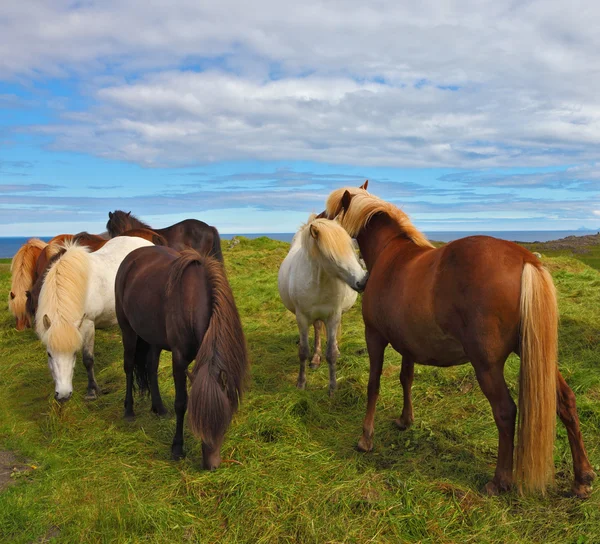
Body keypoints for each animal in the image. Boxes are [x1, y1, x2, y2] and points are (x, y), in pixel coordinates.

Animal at [35, 236, 155, 402]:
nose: (63, 395)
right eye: (49, 354)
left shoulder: (88, 325)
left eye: (74, 352)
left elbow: (88, 359)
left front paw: (92, 391)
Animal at [113, 245, 247, 468]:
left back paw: (158, 407)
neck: (193, 301)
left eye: (225, 421)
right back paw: (129, 411)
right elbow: (181, 403)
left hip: (154, 337)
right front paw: (177, 447)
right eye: (198, 420)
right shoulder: (179, 359)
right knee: (129, 366)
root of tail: (131, 257)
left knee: (151, 366)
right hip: (128, 330)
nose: (211, 466)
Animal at [278, 212, 370, 396]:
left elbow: (331, 353)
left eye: (351, 248)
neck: (319, 280)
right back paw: (315, 358)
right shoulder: (302, 318)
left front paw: (333, 388)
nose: (362, 281)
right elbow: (303, 351)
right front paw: (301, 382)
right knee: (318, 329)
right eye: (331, 256)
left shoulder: (333, 316)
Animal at [324, 182, 596, 498]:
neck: (389, 255)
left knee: (505, 411)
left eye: (331, 212)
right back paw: (582, 477)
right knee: (565, 401)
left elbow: (373, 385)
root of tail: (526, 259)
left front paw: (366, 438)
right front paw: (405, 420)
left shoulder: (374, 336)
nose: (317, 220)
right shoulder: (408, 345)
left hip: (487, 365)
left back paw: (499, 480)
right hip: (538, 354)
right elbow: (406, 379)